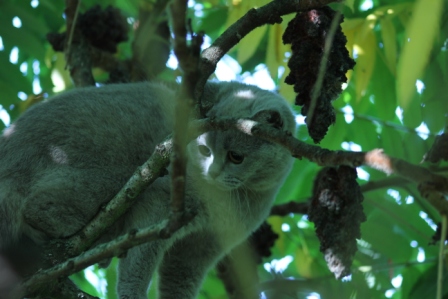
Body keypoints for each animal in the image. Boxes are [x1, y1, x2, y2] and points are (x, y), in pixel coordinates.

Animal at [0, 82, 296, 299]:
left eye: (236, 156)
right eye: (204, 150)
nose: (211, 172)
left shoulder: (202, 245)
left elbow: (179, 280)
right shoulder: (158, 205)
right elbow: (139, 261)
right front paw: (131, 295)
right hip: (104, 169)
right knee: (37, 207)